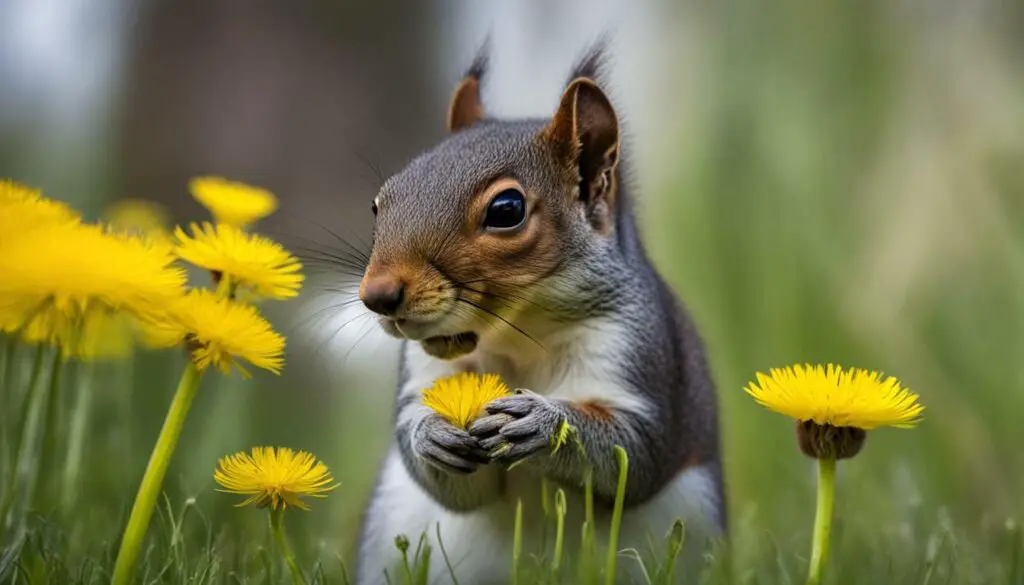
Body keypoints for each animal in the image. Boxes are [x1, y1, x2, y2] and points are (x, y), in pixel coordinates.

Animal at [356, 42, 724, 585]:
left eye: (506, 210)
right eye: (380, 202)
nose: (377, 294)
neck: (519, 331)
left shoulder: (639, 349)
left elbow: (635, 454)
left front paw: (543, 423)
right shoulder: (426, 372)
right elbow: (447, 479)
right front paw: (430, 436)